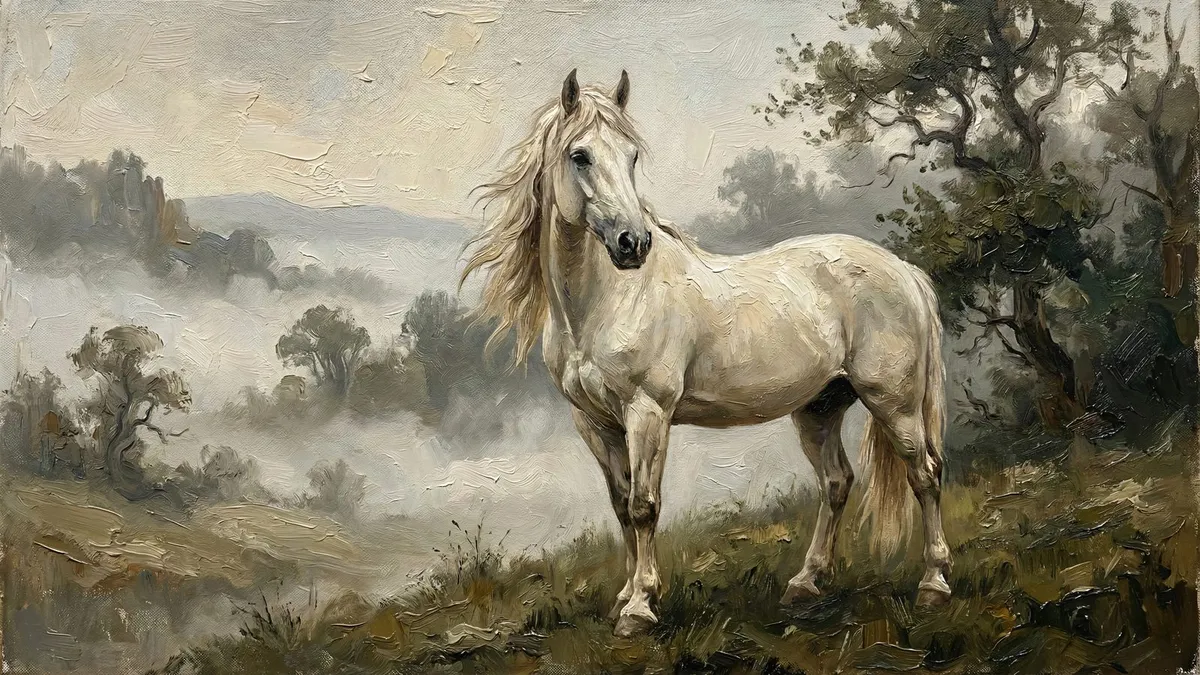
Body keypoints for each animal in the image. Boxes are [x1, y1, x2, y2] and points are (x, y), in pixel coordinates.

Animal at [461, 69, 951, 637]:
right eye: (579, 155)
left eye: (631, 156)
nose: (633, 243)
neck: (609, 301)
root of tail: (904, 271)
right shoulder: (594, 423)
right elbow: (620, 507)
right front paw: (625, 595)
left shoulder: (647, 413)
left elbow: (644, 506)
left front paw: (640, 608)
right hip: (820, 407)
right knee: (836, 482)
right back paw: (806, 583)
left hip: (894, 402)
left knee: (925, 474)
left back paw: (934, 584)